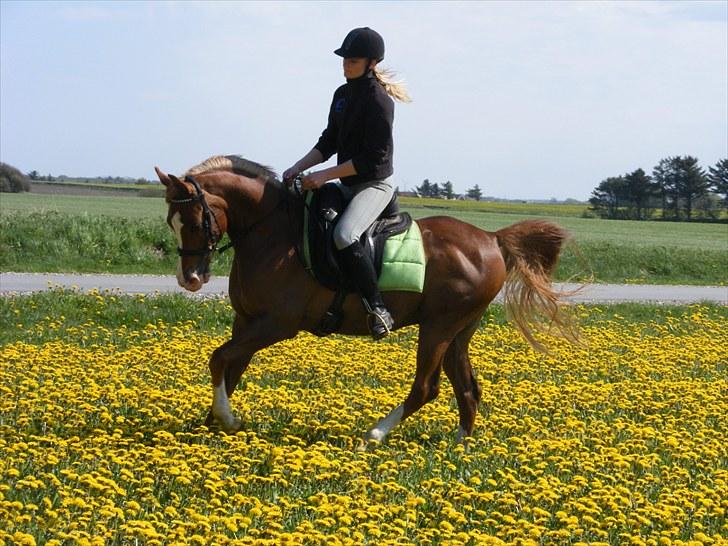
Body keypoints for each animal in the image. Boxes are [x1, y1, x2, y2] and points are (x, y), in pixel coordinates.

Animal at [155, 155, 576, 444]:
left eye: (195, 222)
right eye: (171, 223)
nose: (190, 279)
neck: (271, 232)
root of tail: (492, 238)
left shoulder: (276, 324)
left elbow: (220, 358)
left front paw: (226, 420)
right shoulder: (246, 321)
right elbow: (231, 367)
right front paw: (212, 425)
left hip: (438, 327)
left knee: (427, 388)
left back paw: (374, 435)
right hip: (458, 330)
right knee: (467, 389)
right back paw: (458, 450)